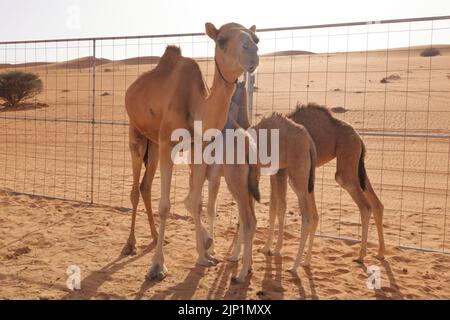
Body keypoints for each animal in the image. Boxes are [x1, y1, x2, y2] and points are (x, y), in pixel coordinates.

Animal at [122, 21, 260, 280]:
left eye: (256, 38)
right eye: (221, 40)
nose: (252, 52)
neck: (195, 108)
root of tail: (131, 90)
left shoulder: (198, 149)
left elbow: (196, 201)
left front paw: (205, 252)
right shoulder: (168, 144)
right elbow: (166, 206)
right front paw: (157, 266)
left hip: (153, 144)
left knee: (145, 186)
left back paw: (155, 237)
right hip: (136, 134)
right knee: (135, 189)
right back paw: (130, 244)